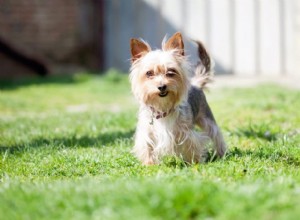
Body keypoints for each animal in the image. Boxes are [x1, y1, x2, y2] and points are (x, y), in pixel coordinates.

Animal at [128, 31, 225, 164]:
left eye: (171, 71)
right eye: (149, 73)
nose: (162, 86)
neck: (162, 107)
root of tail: (195, 84)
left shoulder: (186, 131)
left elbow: (192, 144)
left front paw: (195, 163)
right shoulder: (147, 132)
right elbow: (147, 147)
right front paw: (150, 164)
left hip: (206, 117)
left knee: (216, 133)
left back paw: (222, 153)